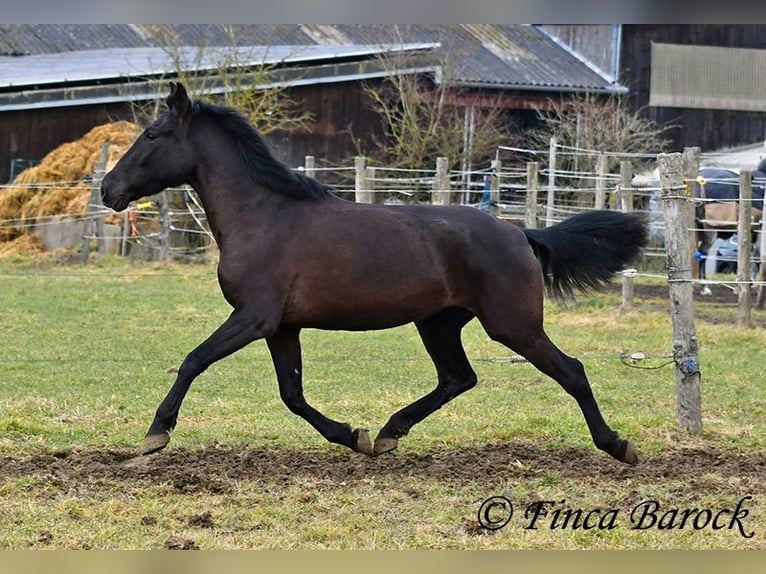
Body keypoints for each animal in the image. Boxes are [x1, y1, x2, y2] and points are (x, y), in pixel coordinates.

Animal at [102, 83, 652, 466]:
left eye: (152, 134)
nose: (108, 189)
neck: (264, 217)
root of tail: (521, 234)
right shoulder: (281, 326)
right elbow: (292, 395)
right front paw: (355, 437)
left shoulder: (253, 317)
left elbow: (193, 360)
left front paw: (154, 435)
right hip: (438, 323)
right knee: (458, 377)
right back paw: (389, 433)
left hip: (512, 325)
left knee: (570, 371)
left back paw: (618, 446)